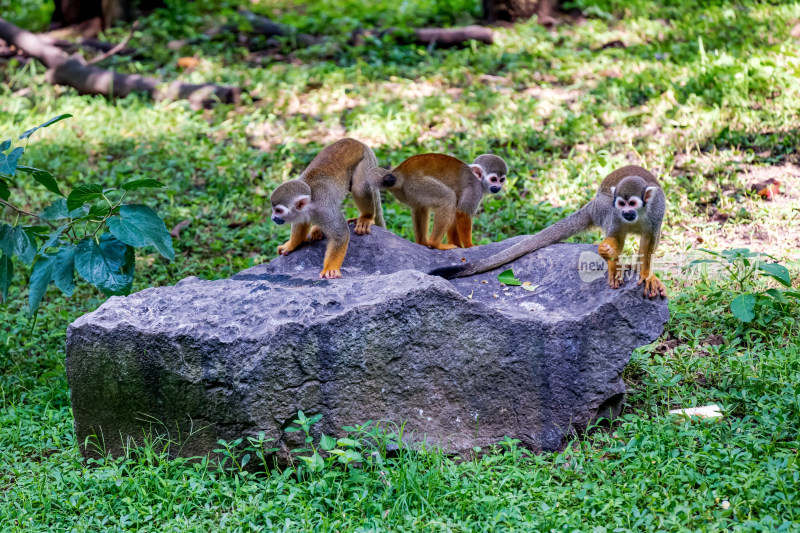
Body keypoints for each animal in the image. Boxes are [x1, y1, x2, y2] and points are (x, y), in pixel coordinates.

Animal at [268, 137, 384, 278]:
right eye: (273, 209)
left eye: (278, 210)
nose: (273, 217)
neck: (311, 203)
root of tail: (359, 142)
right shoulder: (302, 213)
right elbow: (300, 225)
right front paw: (290, 245)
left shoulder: (324, 208)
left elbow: (340, 234)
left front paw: (331, 269)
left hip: (365, 161)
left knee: (359, 188)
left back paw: (366, 217)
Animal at [368, 153, 506, 250]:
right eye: (494, 179)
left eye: (502, 180)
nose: (498, 187)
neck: (478, 179)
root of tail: (399, 172)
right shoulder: (474, 190)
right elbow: (462, 213)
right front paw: (469, 246)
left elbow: (455, 215)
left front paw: (458, 244)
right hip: (416, 184)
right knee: (448, 198)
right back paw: (435, 243)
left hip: (410, 191)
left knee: (421, 207)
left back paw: (423, 243)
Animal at [432, 165, 668, 300]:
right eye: (622, 203)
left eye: (632, 203)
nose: (626, 212)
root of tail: (592, 204)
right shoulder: (614, 211)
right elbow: (616, 237)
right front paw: (610, 258)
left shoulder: (657, 208)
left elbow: (650, 239)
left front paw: (647, 275)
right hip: (603, 206)